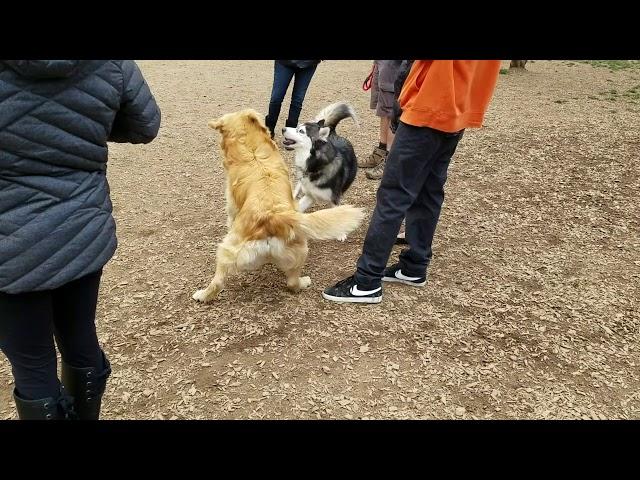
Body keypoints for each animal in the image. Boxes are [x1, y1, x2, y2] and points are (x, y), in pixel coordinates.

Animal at [191, 110, 364, 302]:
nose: (283, 129)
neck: (252, 150)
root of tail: (272, 217)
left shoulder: (231, 205)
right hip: (300, 251)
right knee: (292, 283)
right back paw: (303, 282)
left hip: (226, 251)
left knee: (217, 282)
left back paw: (202, 295)